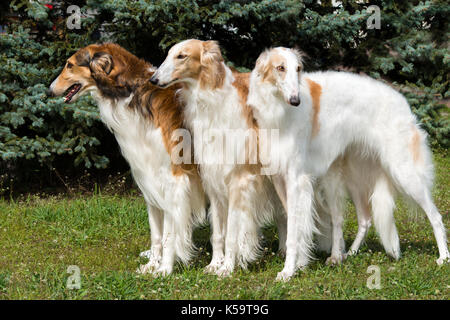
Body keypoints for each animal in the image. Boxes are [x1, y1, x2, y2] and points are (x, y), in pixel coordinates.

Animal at [48, 43, 206, 276]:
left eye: (70, 64)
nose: (49, 90)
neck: (133, 94)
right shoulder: (149, 178)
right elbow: (156, 234)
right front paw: (152, 264)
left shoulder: (174, 180)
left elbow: (169, 235)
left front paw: (165, 269)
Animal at [151, 39, 284, 276]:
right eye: (168, 53)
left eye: (182, 56)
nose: (154, 79)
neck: (213, 101)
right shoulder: (213, 182)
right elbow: (218, 233)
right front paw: (215, 264)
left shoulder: (238, 181)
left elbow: (232, 234)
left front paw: (228, 267)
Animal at [248, 46, 448, 278]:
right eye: (280, 68)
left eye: (298, 69)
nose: (296, 101)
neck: (279, 109)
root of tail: (403, 103)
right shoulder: (280, 179)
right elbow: (296, 226)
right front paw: (300, 264)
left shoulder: (296, 179)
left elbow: (294, 232)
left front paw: (288, 271)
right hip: (354, 179)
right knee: (365, 219)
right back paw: (347, 254)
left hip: (404, 172)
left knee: (435, 216)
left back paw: (443, 257)